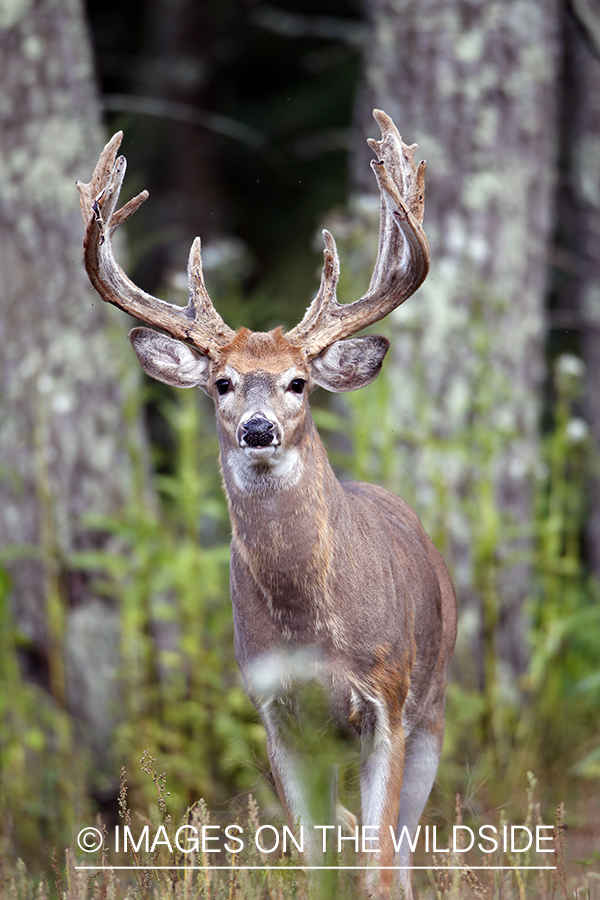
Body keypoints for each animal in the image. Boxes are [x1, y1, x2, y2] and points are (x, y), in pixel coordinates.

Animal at [78, 112, 454, 900]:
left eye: (297, 382)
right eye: (221, 382)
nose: (258, 429)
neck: (310, 626)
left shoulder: (388, 699)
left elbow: (375, 868)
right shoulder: (277, 715)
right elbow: (319, 866)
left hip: (435, 701)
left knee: (402, 856)